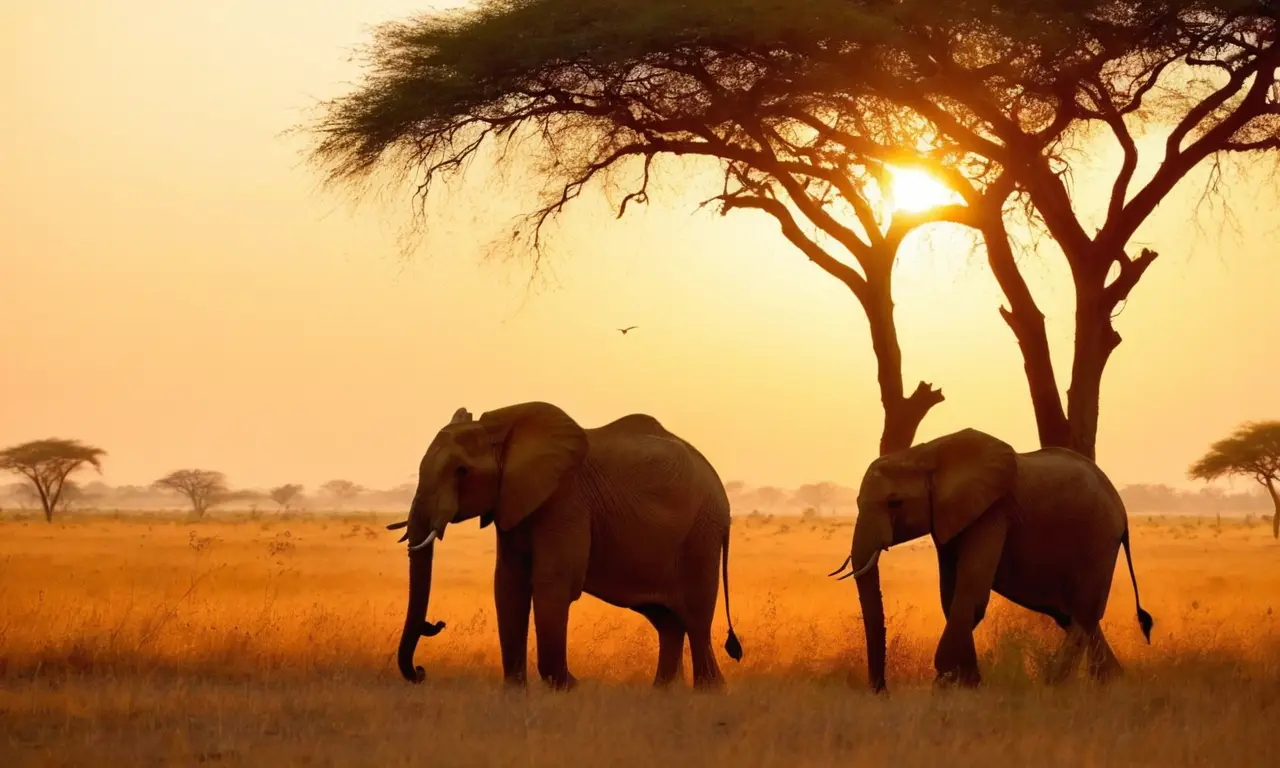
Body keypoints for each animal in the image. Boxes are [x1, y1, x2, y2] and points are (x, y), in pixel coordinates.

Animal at [386, 401, 743, 690]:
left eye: (461, 471)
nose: (421, 671)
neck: (503, 428)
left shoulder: (565, 499)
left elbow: (552, 583)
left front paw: (568, 687)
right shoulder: (514, 501)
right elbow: (508, 585)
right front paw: (515, 692)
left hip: (701, 534)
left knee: (695, 619)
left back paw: (708, 692)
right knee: (666, 621)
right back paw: (664, 693)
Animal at [830, 428, 1154, 692]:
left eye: (894, 503)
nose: (882, 691)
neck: (925, 455)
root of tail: (1121, 508)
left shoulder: (992, 513)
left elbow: (970, 593)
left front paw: (947, 685)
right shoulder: (951, 519)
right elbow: (951, 597)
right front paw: (967, 683)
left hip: (1098, 541)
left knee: (1082, 616)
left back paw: (1052, 684)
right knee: (1074, 616)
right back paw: (1111, 683)